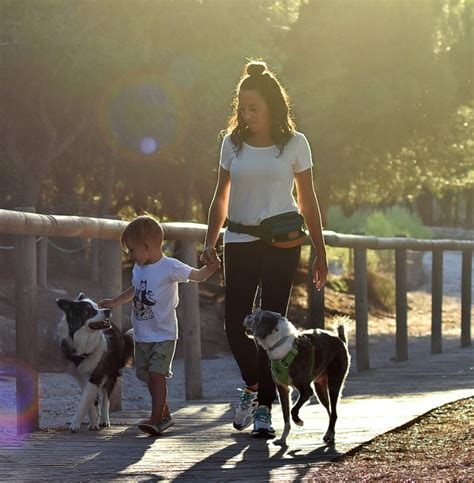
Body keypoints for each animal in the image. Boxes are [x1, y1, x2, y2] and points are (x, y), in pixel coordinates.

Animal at [57, 294, 133, 434]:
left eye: (98, 306)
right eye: (88, 311)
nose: (107, 310)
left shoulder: (97, 374)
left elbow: (85, 401)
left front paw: (75, 424)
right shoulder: (80, 375)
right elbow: (89, 400)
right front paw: (92, 422)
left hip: (111, 371)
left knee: (106, 396)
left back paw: (104, 419)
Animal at [244, 310, 348, 446]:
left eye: (255, 317)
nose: (246, 316)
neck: (279, 344)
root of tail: (340, 339)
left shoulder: (306, 390)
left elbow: (293, 409)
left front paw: (298, 421)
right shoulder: (282, 389)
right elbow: (286, 416)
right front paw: (282, 439)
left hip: (334, 382)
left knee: (334, 412)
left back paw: (329, 433)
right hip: (320, 388)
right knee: (330, 411)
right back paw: (331, 434)